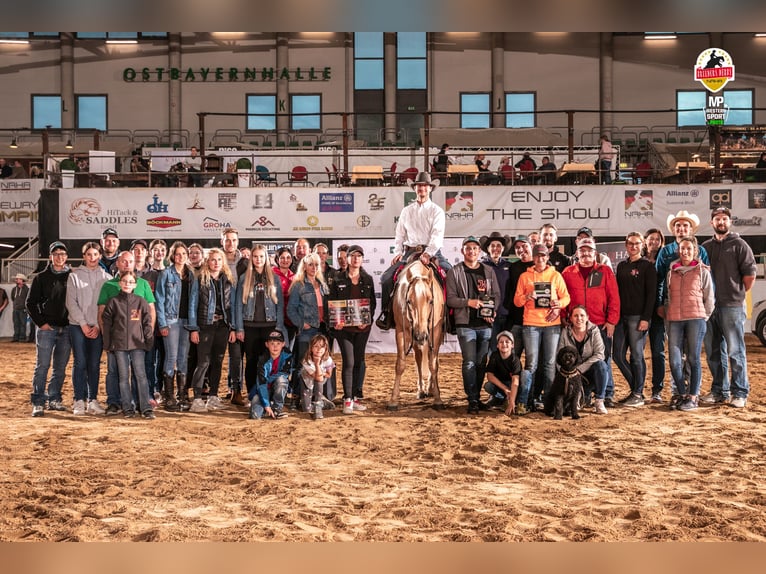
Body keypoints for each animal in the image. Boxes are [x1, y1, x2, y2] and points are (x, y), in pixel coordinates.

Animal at [388, 260, 448, 410]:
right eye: (409, 301)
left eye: (431, 301)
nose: (421, 336)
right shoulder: (401, 331)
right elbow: (400, 364)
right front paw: (393, 400)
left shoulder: (435, 332)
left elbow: (433, 365)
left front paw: (438, 399)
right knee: (419, 358)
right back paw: (421, 390)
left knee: (432, 358)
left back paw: (431, 389)